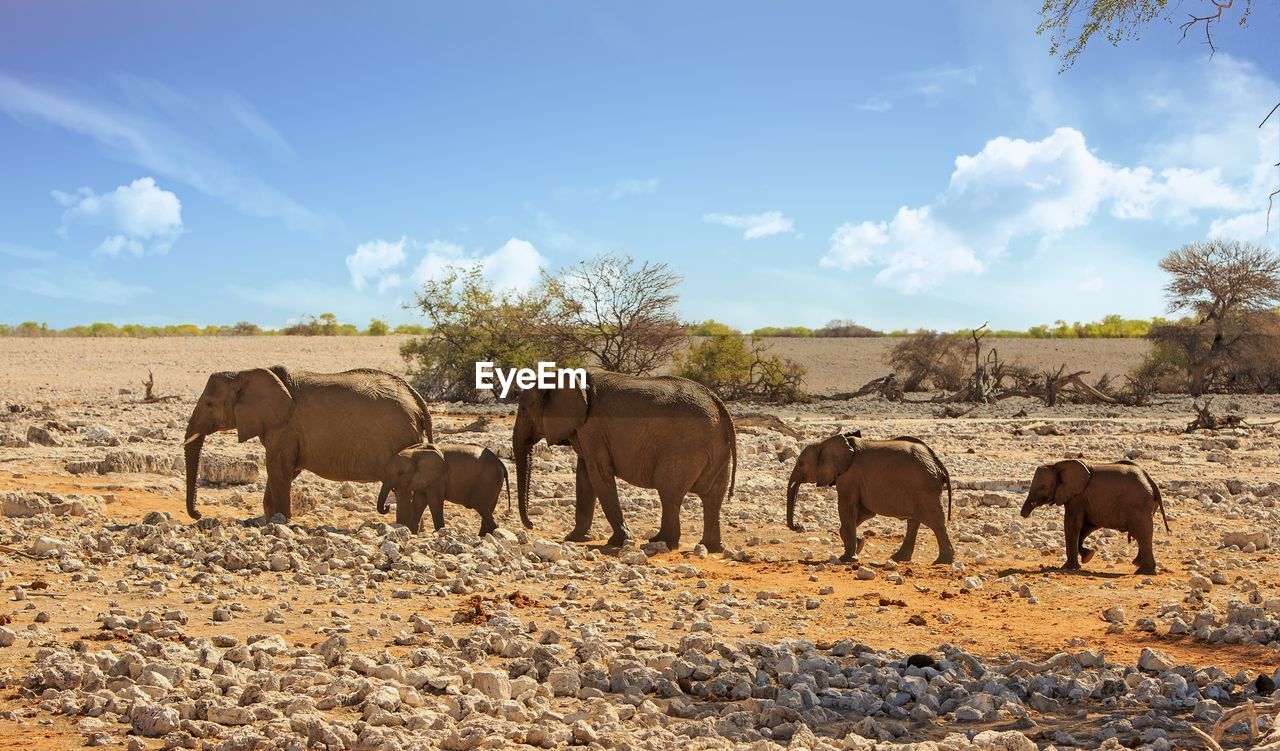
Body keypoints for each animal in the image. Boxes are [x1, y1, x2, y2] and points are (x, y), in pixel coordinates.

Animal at [181, 365, 435, 519]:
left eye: (209, 404)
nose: (199, 514)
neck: (245, 373)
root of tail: (416, 398)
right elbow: (285, 470)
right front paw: (269, 519)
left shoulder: (285, 427)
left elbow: (279, 469)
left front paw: (281, 521)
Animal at [373, 442, 509, 537]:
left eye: (401, 473)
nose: (387, 506)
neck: (416, 452)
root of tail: (501, 464)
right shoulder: (421, 478)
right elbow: (418, 502)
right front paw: (412, 533)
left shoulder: (438, 478)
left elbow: (434, 502)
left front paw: (440, 532)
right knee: (487, 508)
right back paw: (484, 536)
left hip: (488, 480)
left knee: (480, 505)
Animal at [509, 371, 737, 552]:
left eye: (523, 409)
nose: (531, 525)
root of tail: (720, 405)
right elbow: (584, 474)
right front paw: (575, 538)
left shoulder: (593, 428)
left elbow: (598, 474)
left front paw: (618, 541)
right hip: (717, 449)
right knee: (713, 497)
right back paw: (711, 547)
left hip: (684, 449)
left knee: (669, 493)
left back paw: (660, 542)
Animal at [783, 432, 957, 568]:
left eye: (801, 464)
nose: (799, 526)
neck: (825, 443)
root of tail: (938, 463)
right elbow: (865, 512)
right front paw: (859, 545)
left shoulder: (849, 477)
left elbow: (847, 508)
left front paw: (847, 558)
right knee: (915, 522)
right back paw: (898, 558)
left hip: (924, 488)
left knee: (935, 521)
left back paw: (942, 561)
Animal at [1018, 458, 1172, 575]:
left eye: (1042, 487)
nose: (1023, 514)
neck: (1057, 464)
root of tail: (1151, 481)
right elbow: (1086, 526)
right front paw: (1088, 556)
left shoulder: (1078, 497)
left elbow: (1072, 524)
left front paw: (1068, 567)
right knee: (1141, 533)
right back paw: (1138, 565)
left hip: (1138, 506)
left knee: (1142, 532)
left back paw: (1143, 571)